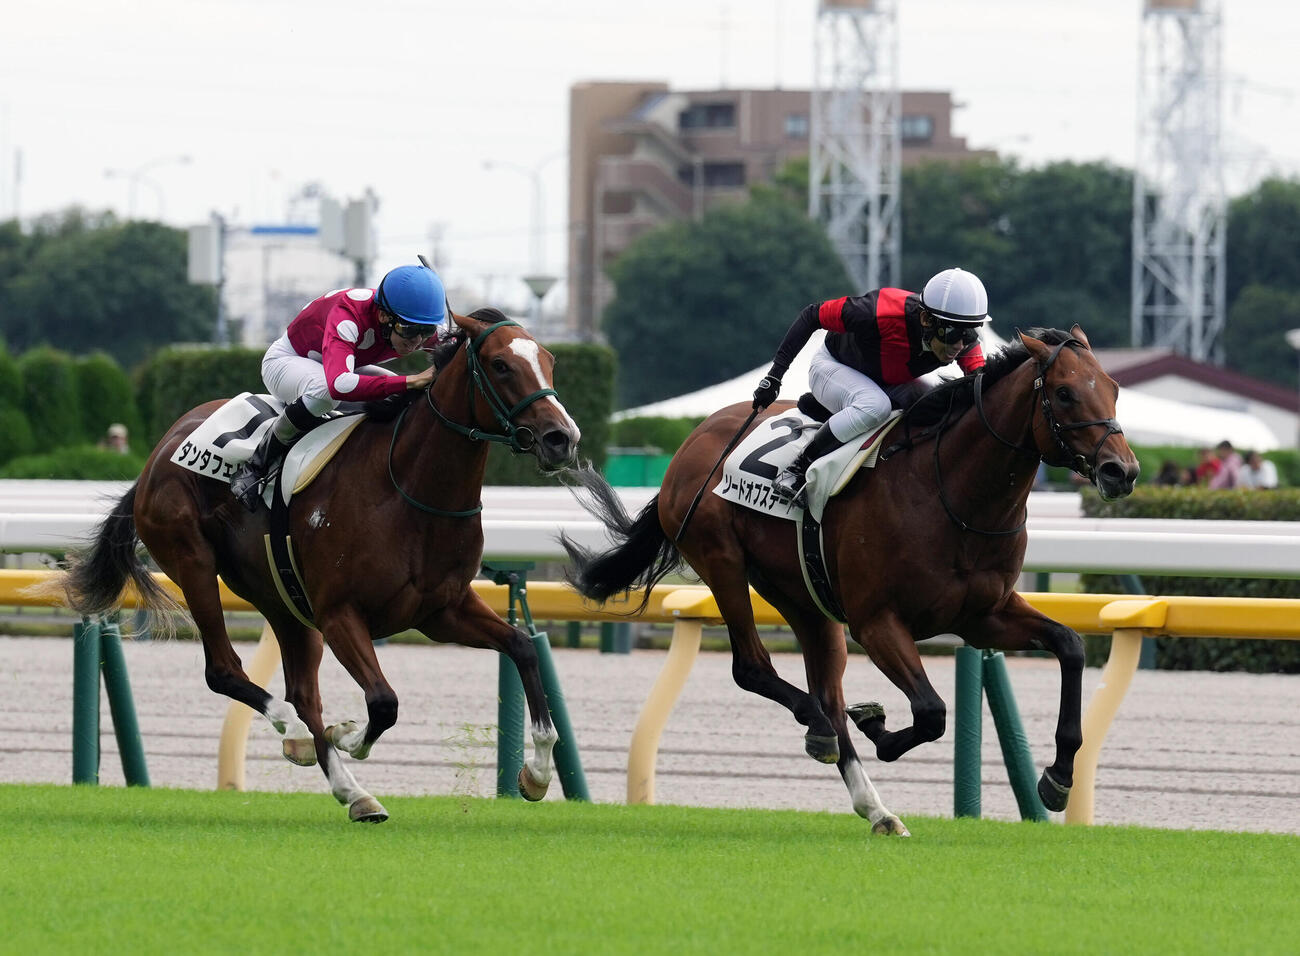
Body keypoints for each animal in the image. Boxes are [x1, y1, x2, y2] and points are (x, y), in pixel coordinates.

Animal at [61, 307, 581, 823]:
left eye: (550, 361)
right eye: (500, 365)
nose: (562, 438)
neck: (409, 489)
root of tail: (158, 453)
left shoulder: (442, 610)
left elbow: (523, 648)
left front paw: (536, 774)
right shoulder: (340, 613)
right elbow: (383, 702)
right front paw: (346, 734)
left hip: (283, 599)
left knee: (303, 693)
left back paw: (352, 791)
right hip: (193, 564)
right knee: (226, 671)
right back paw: (294, 733)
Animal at [562, 326, 1139, 835]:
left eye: (1112, 389)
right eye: (1064, 393)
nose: (1123, 471)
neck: (949, 492)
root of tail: (695, 439)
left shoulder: (982, 615)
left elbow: (1068, 645)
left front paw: (1058, 778)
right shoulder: (877, 621)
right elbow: (931, 711)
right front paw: (879, 727)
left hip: (804, 598)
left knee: (826, 690)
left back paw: (876, 808)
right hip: (721, 560)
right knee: (757, 669)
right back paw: (819, 729)